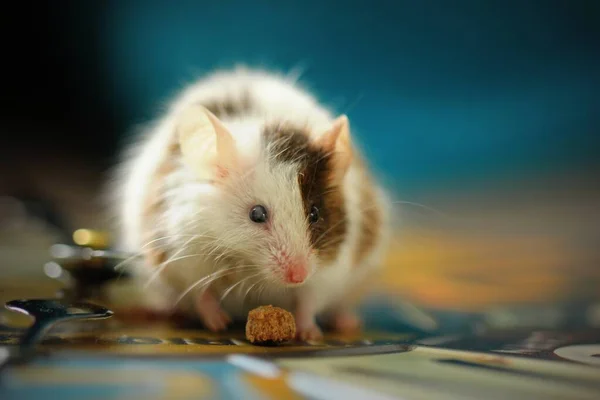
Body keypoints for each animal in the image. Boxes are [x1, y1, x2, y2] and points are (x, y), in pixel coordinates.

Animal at [111, 67, 394, 340]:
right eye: (257, 214)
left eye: (314, 213)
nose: (298, 276)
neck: (252, 268)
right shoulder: (185, 257)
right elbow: (202, 294)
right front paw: (218, 324)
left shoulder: (328, 271)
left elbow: (308, 301)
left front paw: (309, 332)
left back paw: (346, 322)